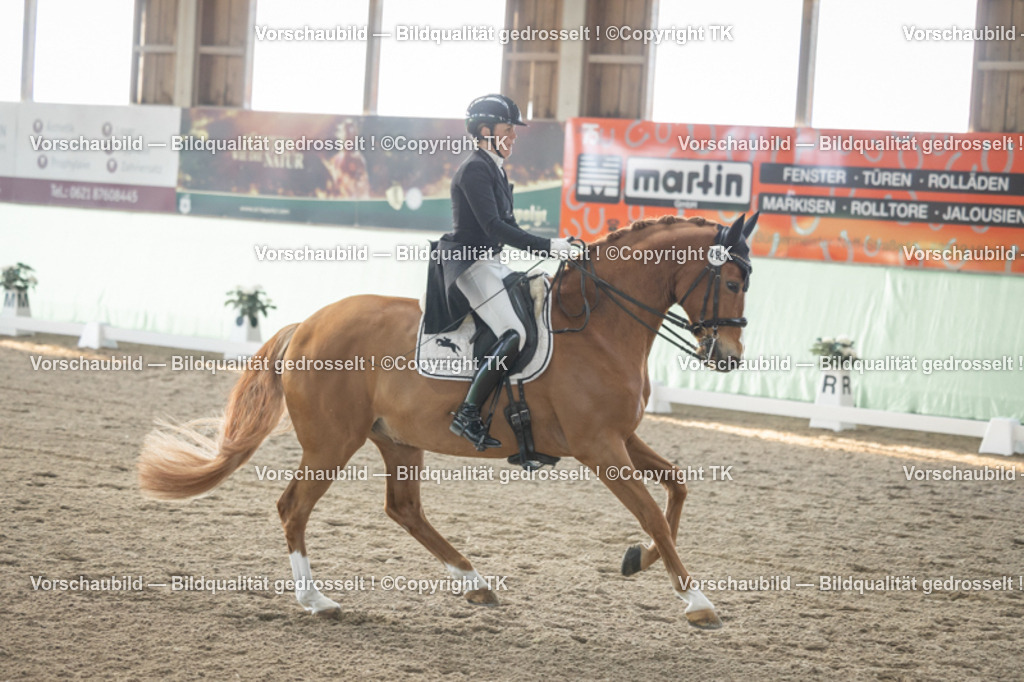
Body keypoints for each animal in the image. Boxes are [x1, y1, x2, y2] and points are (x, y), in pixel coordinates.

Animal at [138, 213, 758, 630]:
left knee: (404, 510)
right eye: (731, 282)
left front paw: (638, 560)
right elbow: (652, 511)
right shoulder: (599, 446)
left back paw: (476, 583)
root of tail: (309, 323)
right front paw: (698, 602)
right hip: (331, 442)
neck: (599, 325)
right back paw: (317, 601)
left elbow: (677, 486)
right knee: (294, 507)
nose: (728, 357)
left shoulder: (621, 435)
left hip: (396, 439)